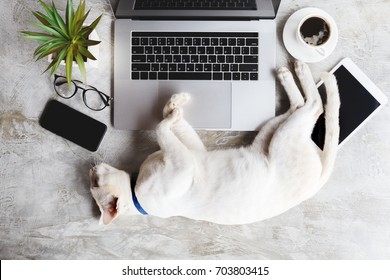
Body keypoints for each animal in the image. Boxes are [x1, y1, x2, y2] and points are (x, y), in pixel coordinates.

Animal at [90, 61, 338, 225]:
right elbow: (161, 126)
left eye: (94, 182)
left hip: (272, 130)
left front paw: (175, 104)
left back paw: (289, 71)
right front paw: (174, 111)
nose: (91, 168)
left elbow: (164, 117)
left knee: (305, 104)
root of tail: (320, 178)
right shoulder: (184, 162)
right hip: (280, 135)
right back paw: (295, 69)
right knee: (313, 105)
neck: (135, 188)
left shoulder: (191, 152)